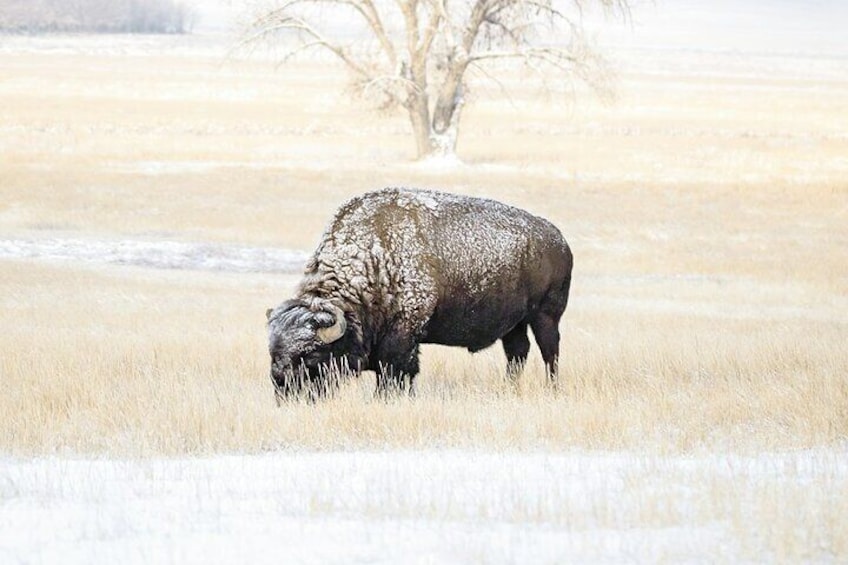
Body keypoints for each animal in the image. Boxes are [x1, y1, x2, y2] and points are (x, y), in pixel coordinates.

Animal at [266, 187, 568, 398]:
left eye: (311, 354)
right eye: (273, 351)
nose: (282, 387)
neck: (376, 258)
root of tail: (559, 239)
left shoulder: (403, 335)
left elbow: (396, 372)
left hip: (545, 316)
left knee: (549, 352)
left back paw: (552, 389)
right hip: (514, 324)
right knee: (517, 353)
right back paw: (509, 389)